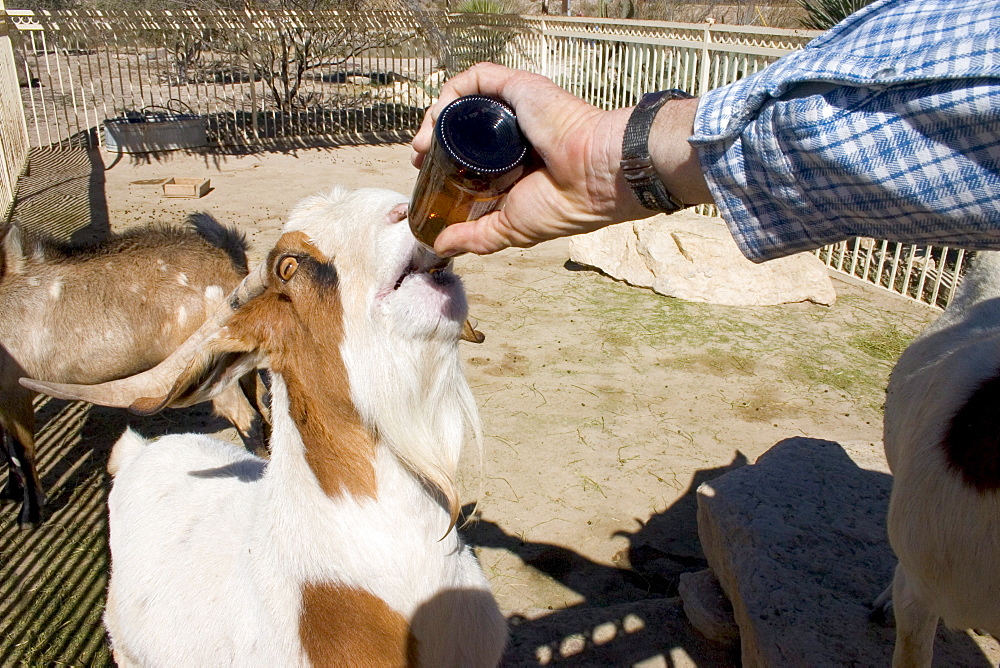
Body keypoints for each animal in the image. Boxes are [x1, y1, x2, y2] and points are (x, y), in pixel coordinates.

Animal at [0, 219, 266, 528]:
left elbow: (19, 449)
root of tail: (228, 260)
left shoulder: (12, 388)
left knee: (247, 418)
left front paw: (29, 515)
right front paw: (12, 491)